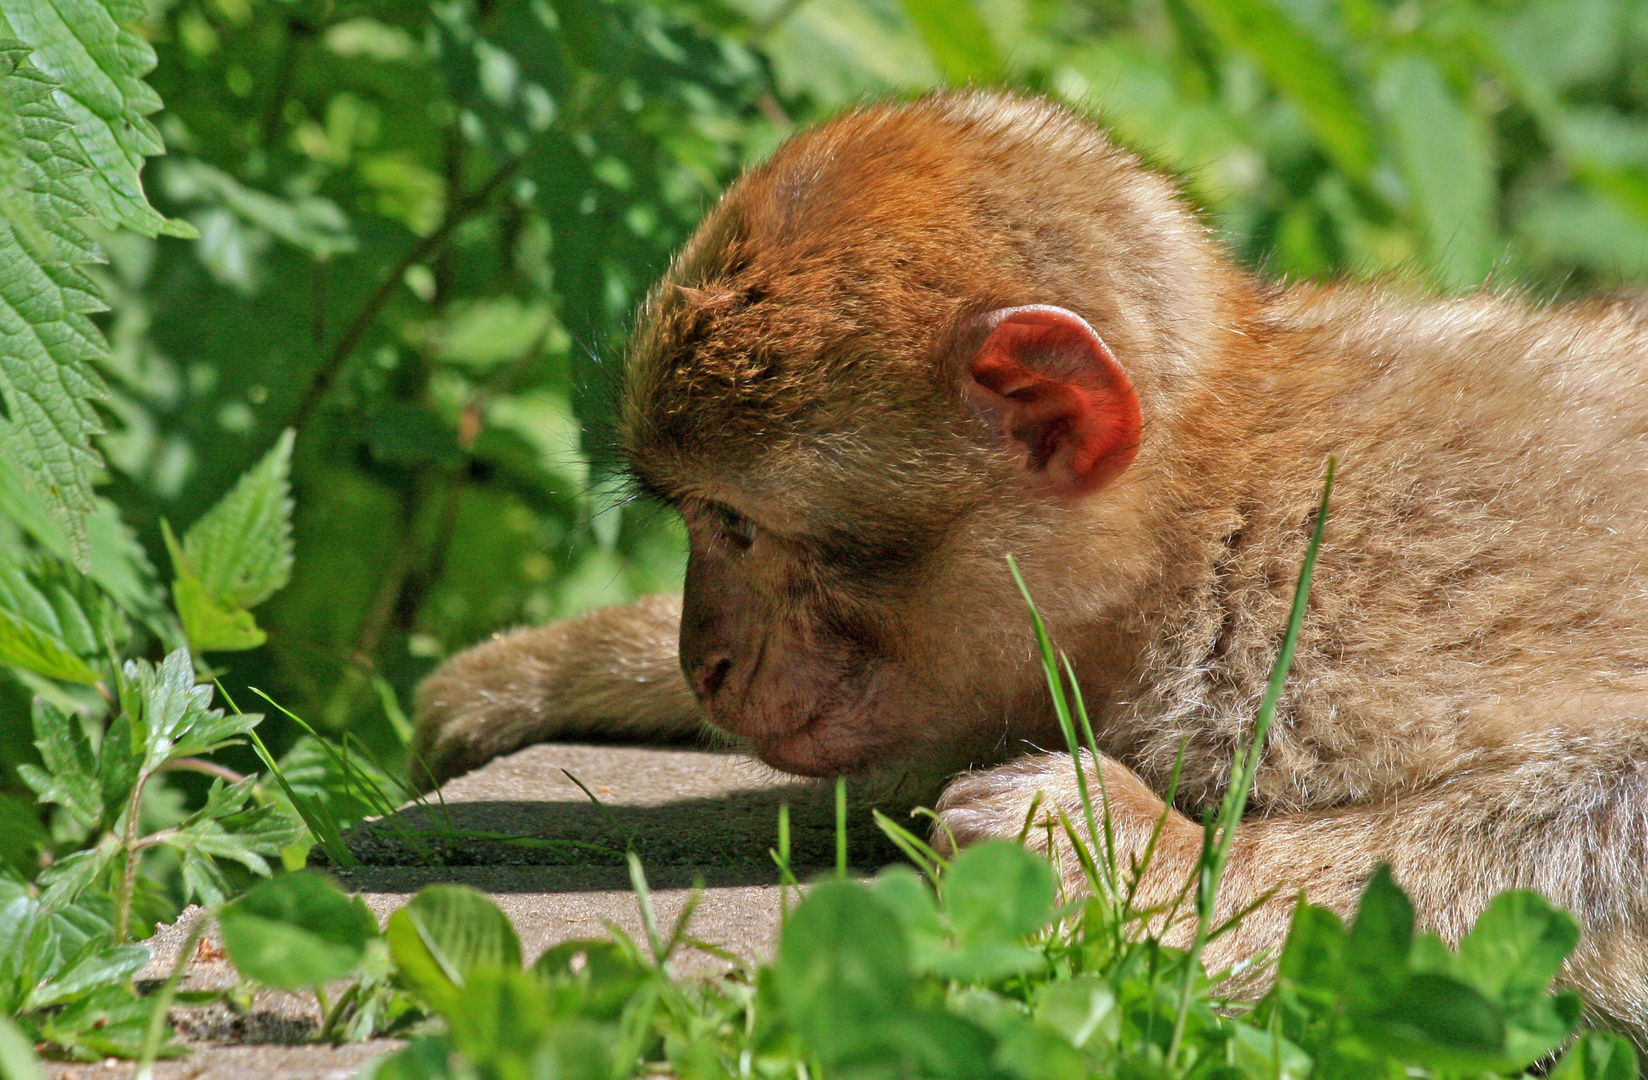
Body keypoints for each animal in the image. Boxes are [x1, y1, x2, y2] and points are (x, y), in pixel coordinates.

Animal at [412, 90, 1648, 1028]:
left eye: (735, 528)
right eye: (695, 520)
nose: (702, 661)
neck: (1202, 535)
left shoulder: (1332, 646)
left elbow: (1613, 802)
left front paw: (1136, 852)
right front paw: (543, 667)